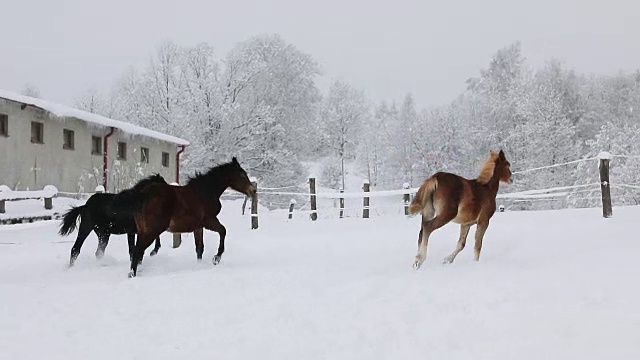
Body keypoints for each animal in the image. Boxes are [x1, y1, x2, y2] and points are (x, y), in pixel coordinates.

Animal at [114, 156, 256, 278]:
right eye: (242, 174)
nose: (252, 191)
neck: (205, 192)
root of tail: (143, 194)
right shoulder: (209, 221)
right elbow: (223, 231)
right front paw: (217, 258)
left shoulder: (198, 227)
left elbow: (200, 248)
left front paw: (199, 266)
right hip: (152, 230)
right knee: (138, 250)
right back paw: (132, 274)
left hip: (143, 230)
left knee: (137, 251)